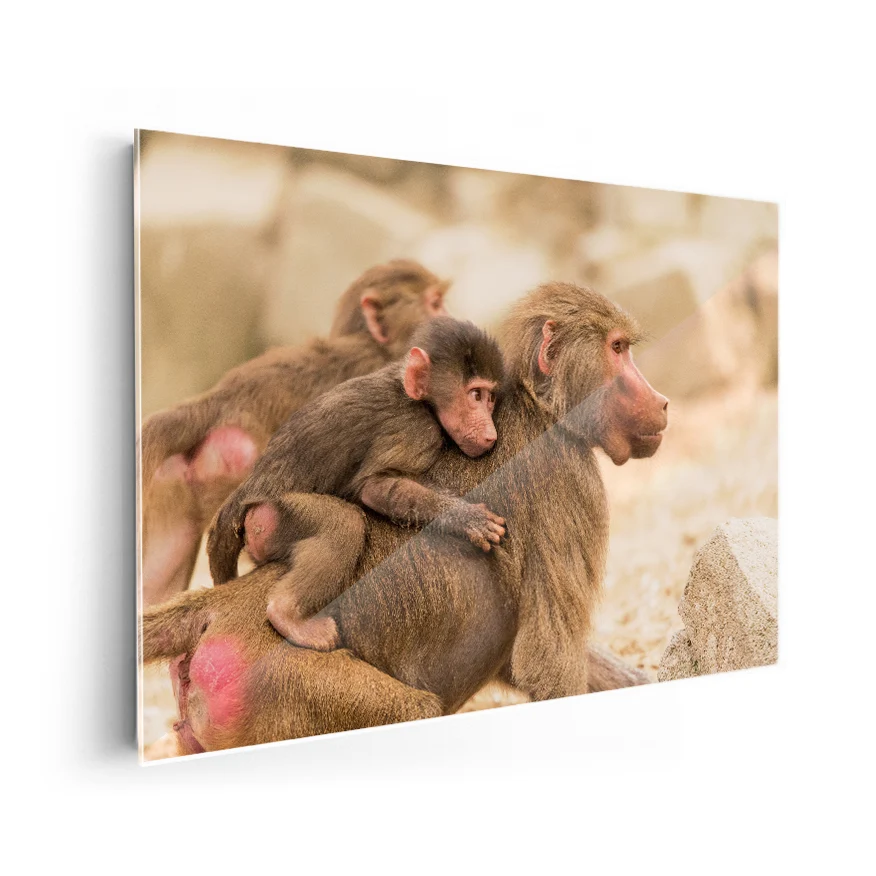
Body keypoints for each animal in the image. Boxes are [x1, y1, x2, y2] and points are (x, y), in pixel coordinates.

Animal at [205, 316, 507, 651]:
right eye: (475, 396)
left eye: (491, 398)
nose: (490, 433)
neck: (416, 398)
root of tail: (242, 497)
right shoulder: (415, 429)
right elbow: (375, 487)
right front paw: (465, 517)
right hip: (272, 516)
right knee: (344, 523)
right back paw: (287, 615)